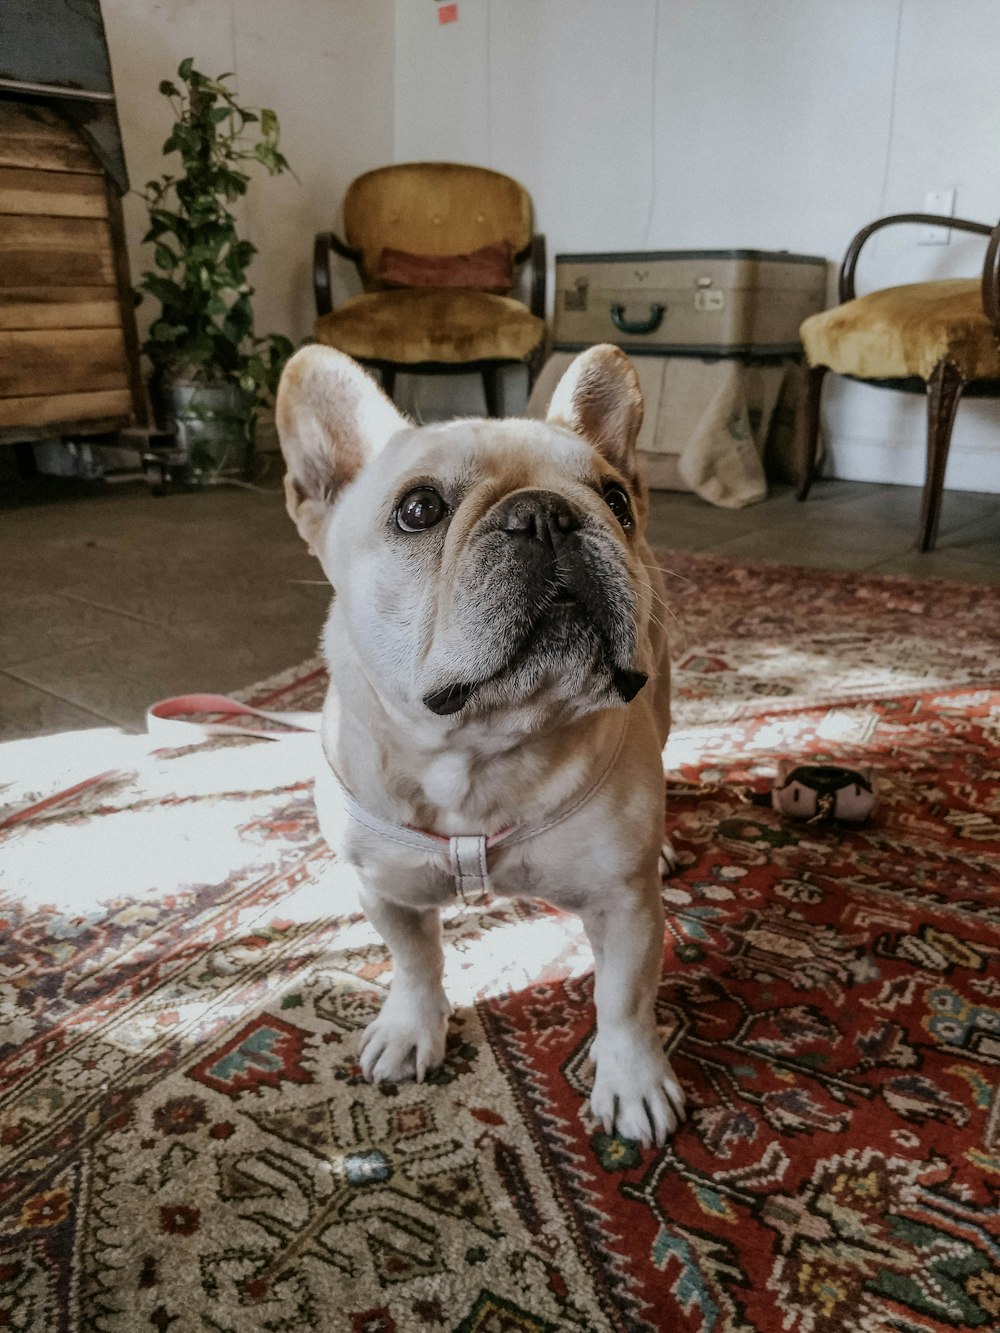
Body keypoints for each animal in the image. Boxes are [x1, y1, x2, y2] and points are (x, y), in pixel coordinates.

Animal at [278, 343, 688, 1146]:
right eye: (418, 510)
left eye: (615, 500)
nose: (548, 513)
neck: (483, 752)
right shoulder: (384, 891)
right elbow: (414, 961)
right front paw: (412, 1028)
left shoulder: (625, 907)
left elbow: (624, 999)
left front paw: (630, 1078)